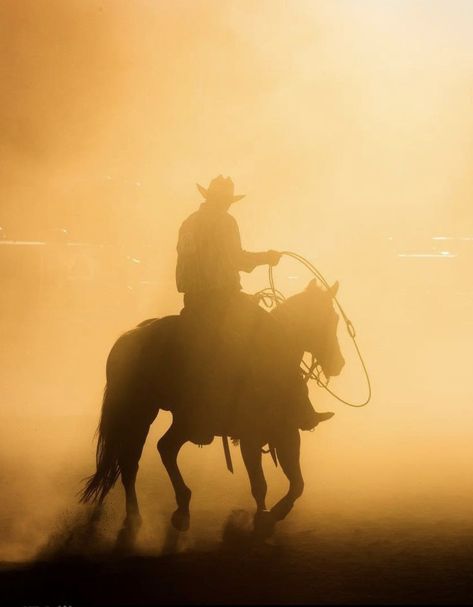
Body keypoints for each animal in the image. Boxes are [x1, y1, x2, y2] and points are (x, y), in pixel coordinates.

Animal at [80, 278, 342, 540]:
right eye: (325, 318)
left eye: (336, 319)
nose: (339, 363)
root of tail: (127, 338)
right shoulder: (250, 436)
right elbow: (260, 483)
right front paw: (264, 517)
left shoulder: (286, 432)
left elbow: (297, 483)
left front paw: (273, 514)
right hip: (141, 413)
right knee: (133, 460)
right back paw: (138, 515)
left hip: (178, 421)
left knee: (162, 449)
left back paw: (178, 509)